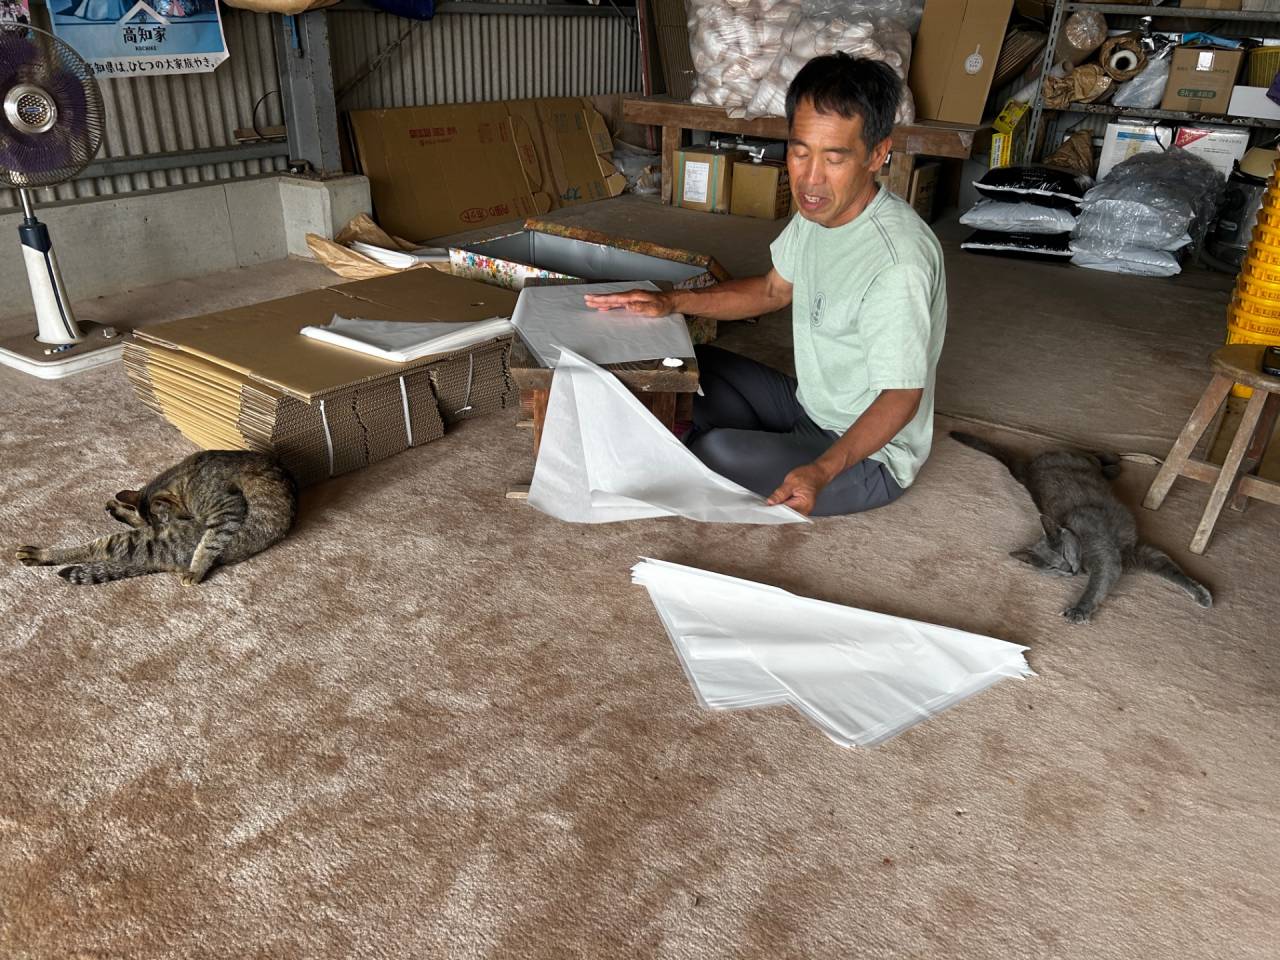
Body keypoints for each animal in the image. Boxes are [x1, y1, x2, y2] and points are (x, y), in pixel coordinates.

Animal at [16, 450, 296, 587]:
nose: (162, 524)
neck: (185, 476)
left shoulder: (229, 507)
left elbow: (209, 543)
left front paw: (197, 569)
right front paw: (123, 507)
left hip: (146, 540)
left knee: (95, 548)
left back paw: (39, 554)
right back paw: (116, 507)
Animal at [950, 431, 1212, 624]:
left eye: (1064, 553)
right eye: (1052, 568)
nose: (1068, 570)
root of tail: (1028, 469)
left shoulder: (1107, 556)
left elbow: (1096, 586)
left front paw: (1079, 610)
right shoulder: (1137, 554)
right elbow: (1169, 569)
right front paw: (1200, 593)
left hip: (1077, 458)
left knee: (1093, 453)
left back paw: (1115, 461)